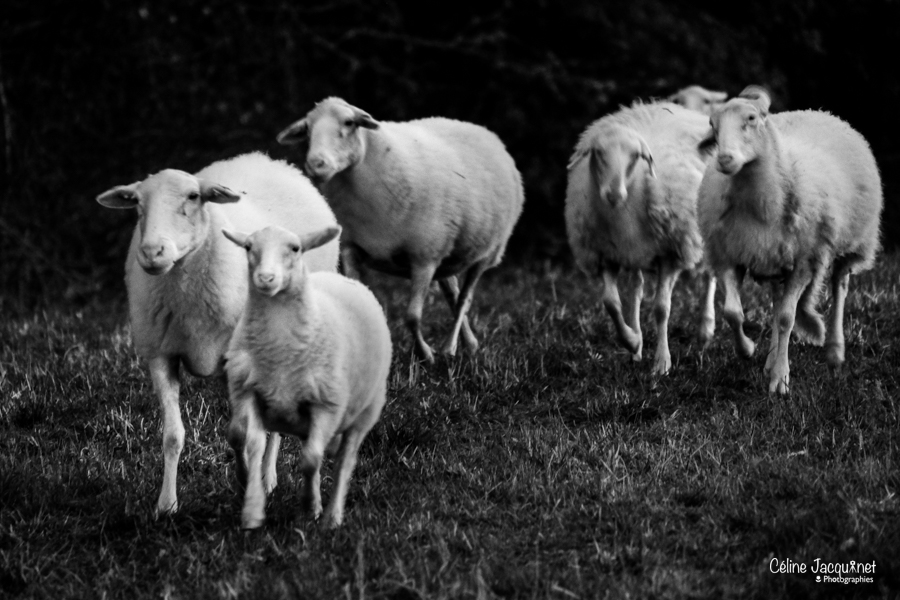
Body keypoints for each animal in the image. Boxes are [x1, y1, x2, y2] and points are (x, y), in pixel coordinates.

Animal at [96, 152, 340, 516]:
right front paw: (166, 504)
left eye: (193, 197)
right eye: (137, 202)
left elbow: (239, 433)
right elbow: (172, 435)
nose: (152, 252)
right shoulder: (160, 354)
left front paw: (245, 484)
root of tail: (272, 161)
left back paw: (267, 477)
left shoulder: (234, 360)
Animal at [223, 224, 391, 529]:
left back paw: (333, 517)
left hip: (365, 413)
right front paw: (251, 508)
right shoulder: (249, 393)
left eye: (295, 248)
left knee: (344, 461)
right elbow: (251, 444)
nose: (266, 278)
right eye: (249, 247)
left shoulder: (326, 406)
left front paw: (311, 507)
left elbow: (311, 460)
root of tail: (339, 277)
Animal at [276, 97, 525, 363]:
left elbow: (412, 316)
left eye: (349, 122)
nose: (316, 164)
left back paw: (449, 348)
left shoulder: (424, 258)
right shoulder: (351, 249)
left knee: (464, 300)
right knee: (452, 293)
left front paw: (426, 355)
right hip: (445, 256)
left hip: (486, 253)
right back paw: (470, 344)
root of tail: (485, 132)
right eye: (308, 129)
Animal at [564, 101, 717, 375]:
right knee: (636, 290)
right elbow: (611, 303)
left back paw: (705, 330)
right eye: (598, 153)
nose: (614, 193)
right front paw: (632, 341)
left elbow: (661, 308)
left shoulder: (671, 254)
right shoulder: (605, 255)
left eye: (636, 156)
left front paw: (662, 362)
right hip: (636, 253)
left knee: (710, 274)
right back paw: (636, 347)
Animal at [697, 86, 883, 394]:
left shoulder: (805, 261)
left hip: (853, 242)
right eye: (713, 125)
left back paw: (834, 351)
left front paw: (780, 380)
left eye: (751, 118)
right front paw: (748, 350)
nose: (724, 159)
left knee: (840, 286)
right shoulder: (728, 255)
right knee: (776, 301)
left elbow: (787, 318)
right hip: (775, 256)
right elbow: (733, 313)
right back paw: (770, 359)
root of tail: (819, 112)